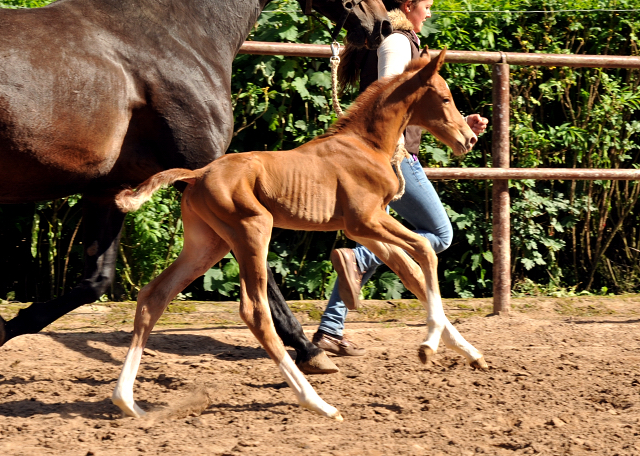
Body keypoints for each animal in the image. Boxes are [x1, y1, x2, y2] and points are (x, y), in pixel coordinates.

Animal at [0, 0, 390, 374]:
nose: (382, 22)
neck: (179, 35)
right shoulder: (214, 181)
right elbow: (263, 277)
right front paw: (310, 351)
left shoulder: (108, 191)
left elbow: (95, 281)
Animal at [112, 49, 488, 420]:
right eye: (445, 97)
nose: (468, 138)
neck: (365, 145)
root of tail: (198, 174)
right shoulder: (365, 220)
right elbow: (425, 251)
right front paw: (428, 346)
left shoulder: (364, 230)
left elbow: (411, 273)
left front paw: (470, 353)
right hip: (252, 230)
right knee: (255, 311)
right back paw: (317, 402)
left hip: (207, 244)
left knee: (154, 296)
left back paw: (128, 402)